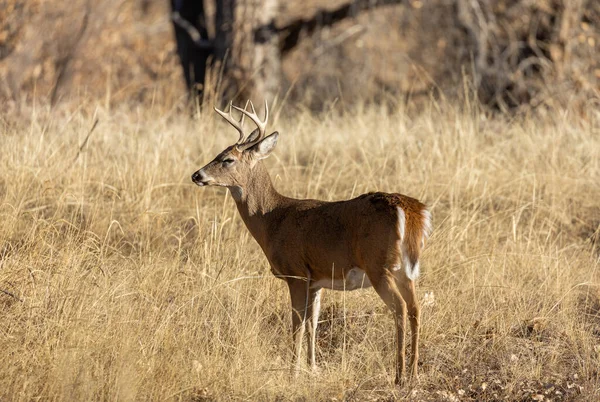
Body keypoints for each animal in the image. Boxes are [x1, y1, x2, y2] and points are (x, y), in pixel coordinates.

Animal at [192, 100, 432, 386]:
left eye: (227, 159)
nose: (196, 175)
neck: (271, 218)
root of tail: (410, 209)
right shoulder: (316, 280)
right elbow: (312, 323)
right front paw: (312, 367)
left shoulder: (295, 273)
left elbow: (296, 323)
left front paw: (293, 372)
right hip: (406, 270)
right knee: (416, 308)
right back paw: (415, 373)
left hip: (379, 266)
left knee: (401, 309)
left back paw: (399, 375)